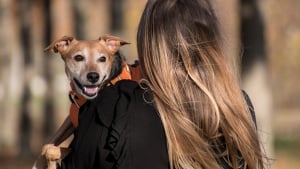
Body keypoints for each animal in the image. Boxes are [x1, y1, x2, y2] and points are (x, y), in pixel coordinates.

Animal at [32, 34, 131, 169]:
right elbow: (47, 145)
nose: (93, 76)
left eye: (102, 59)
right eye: (78, 57)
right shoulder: (70, 119)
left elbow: (52, 150)